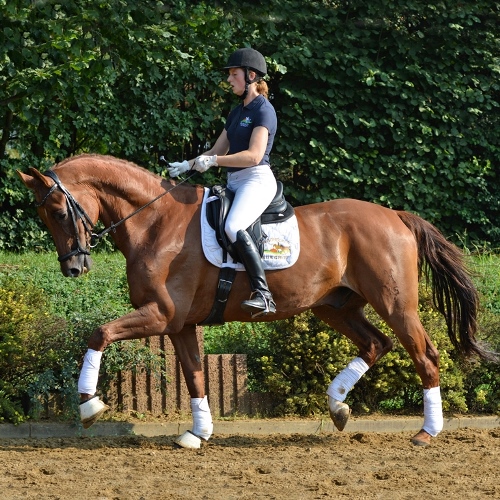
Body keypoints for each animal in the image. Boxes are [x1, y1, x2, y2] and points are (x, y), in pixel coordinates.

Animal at [16, 153, 496, 450]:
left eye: (57, 212)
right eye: (45, 216)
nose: (74, 268)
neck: (154, 222)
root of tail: (394, 215)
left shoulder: (160, 315)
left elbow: (98, 333)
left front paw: (89, 404)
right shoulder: (180, 324)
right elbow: (195, 375)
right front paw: (198, 433)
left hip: (395, 304)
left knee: (425, 355)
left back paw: (427, 431)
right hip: (335, 306)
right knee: (377, 344)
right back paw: (338, 405)